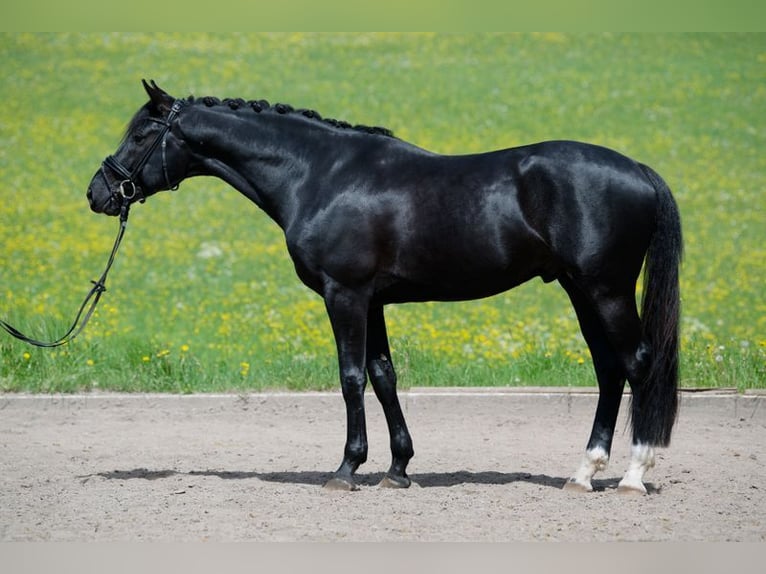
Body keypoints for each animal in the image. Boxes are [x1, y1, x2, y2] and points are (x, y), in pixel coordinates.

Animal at [87, 80, 682, 494]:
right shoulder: (372, 301)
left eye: (141, 134)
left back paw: (632, 476)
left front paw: (347, 468)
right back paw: (583, 473)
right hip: (580, 290)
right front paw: (397, 468)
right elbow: (383, 375)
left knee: (636, 362)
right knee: (608, 369)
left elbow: (351, 377)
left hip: (605, 290)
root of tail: (638, 169)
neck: (319, 174)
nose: (99, 192)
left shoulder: (344, 295)